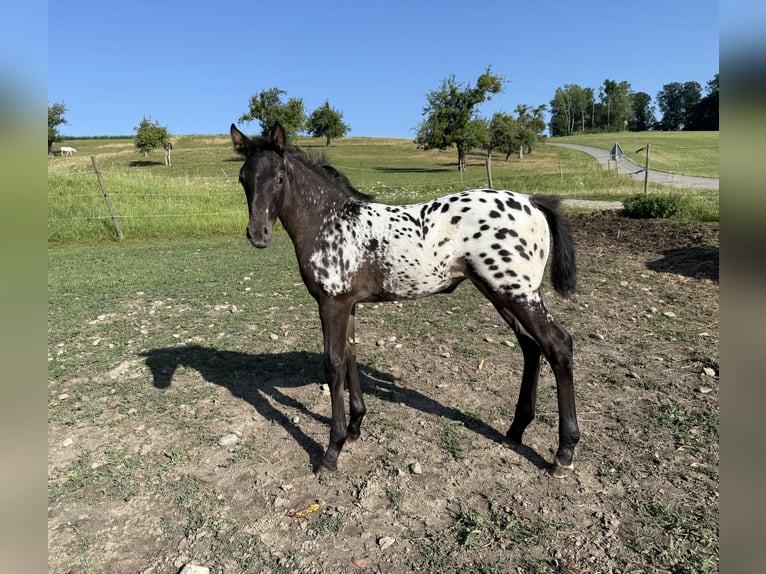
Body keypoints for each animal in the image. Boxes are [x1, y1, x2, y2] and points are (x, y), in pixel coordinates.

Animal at [230, 122, 580, 478]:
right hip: (501, 292)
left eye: (279, 178)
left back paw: (563, 453)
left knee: (558, 345)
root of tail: (532, 201)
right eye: (243, 177)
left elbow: (334, 365)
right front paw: (355, 428)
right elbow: (350, 355)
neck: (329, 221)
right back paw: (516, 430)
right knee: (531, 346)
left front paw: (331, 451)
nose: (258, 234)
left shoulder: (332, 304)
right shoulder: (349, 305)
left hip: (516, 292)